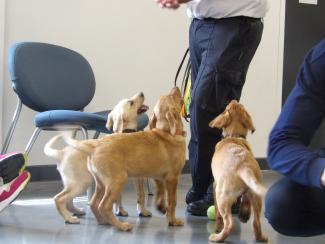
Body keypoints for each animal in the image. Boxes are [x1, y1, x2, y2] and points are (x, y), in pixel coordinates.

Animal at [43, 92, 150, 224]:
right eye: (131, 102)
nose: (142, 93)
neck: (125, 132)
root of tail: (62, 153)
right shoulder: (130, 177)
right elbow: (138, 195)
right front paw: (138, 211)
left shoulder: (125, 178)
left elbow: (126, 196)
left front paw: (122, 211)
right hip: (82, 182)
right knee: (59, 198)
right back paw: (69, 219)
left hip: (73, 182)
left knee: (68, 200)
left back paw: (76, 211)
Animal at [63, 87, 186, 231]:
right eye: (172, 96)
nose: (175, 87)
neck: (166, 132)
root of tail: (95, 145)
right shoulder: (172, 178)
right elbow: (172, 201)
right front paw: (173, 220)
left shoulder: (158, 176)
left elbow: (160, 193)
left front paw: (160, 207)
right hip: (117, 180)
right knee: (103, 206)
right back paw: (121, 225)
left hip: (101, 183)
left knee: (94, 203)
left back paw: (103, 221)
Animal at [208, 100, 266, 243]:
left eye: (226, 108)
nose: (234, 100)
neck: (233, 136)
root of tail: (243, 166)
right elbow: (244, 200)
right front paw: (244, 214)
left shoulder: (215, 185)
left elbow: (217, 213)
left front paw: (218, 226)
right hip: (256, 195)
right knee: (256, 222)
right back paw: (260, 237)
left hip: (222, 196)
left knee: (229, 223)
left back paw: (217, 237)